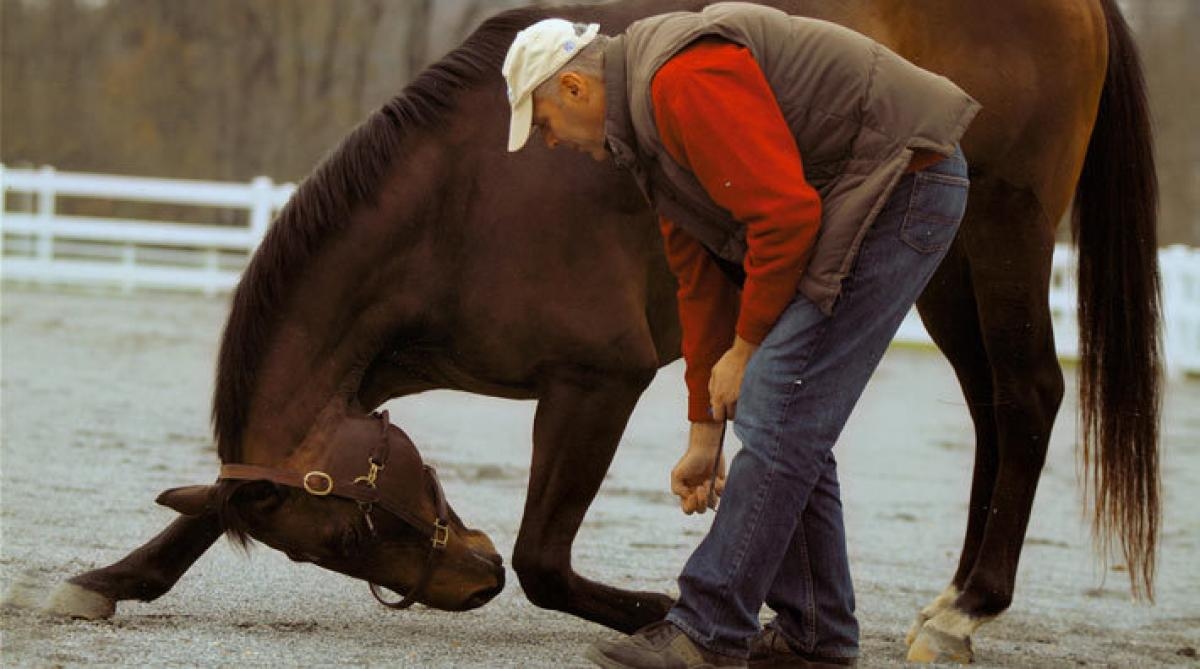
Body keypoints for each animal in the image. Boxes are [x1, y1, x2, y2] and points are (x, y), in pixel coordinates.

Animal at [42, 0, 1156, 666]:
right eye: (335, 547)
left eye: (362, 528)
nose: (469, 582)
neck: (465, 197)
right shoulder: (376, 376)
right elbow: (212, 502)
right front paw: (108, 581)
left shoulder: (596, 380)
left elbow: (546, 556)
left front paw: (660, 615)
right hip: (942, 272)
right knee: (993, 412)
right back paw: (951, 598)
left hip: (1004, 234)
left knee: (1028, 396)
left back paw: (969, 605)